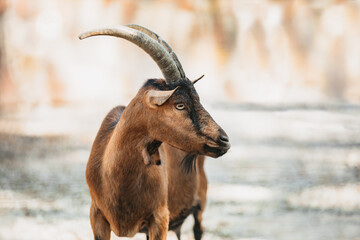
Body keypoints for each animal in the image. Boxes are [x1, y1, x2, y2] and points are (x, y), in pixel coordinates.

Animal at [80, 24, 229, 240]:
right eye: (180, 104)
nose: (224, 140)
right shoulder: (97, 216)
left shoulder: (160, 217)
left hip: (200, 199)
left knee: (198, 229)